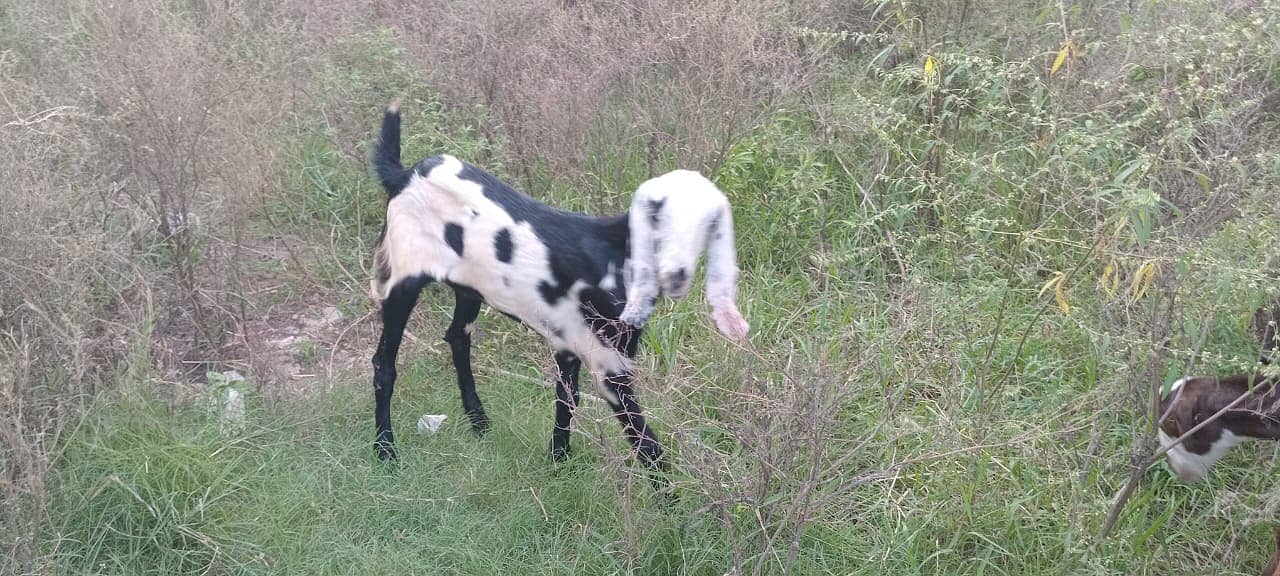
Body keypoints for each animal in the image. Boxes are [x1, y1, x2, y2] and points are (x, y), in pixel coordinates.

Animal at [368, 102, 747, 473]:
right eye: (659, 217)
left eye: (707, 224)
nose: (677, 274)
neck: (613, 253)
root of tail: (404, 175)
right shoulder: (609, 364)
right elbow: (642, 438)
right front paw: (670, 491)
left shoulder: (570, 341)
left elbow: (567, 399)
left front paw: (558, 462)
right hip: (402, 280)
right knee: (384, 364)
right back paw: (385, 450)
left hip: (469, 287)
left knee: (458, 338)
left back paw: (479, 421)